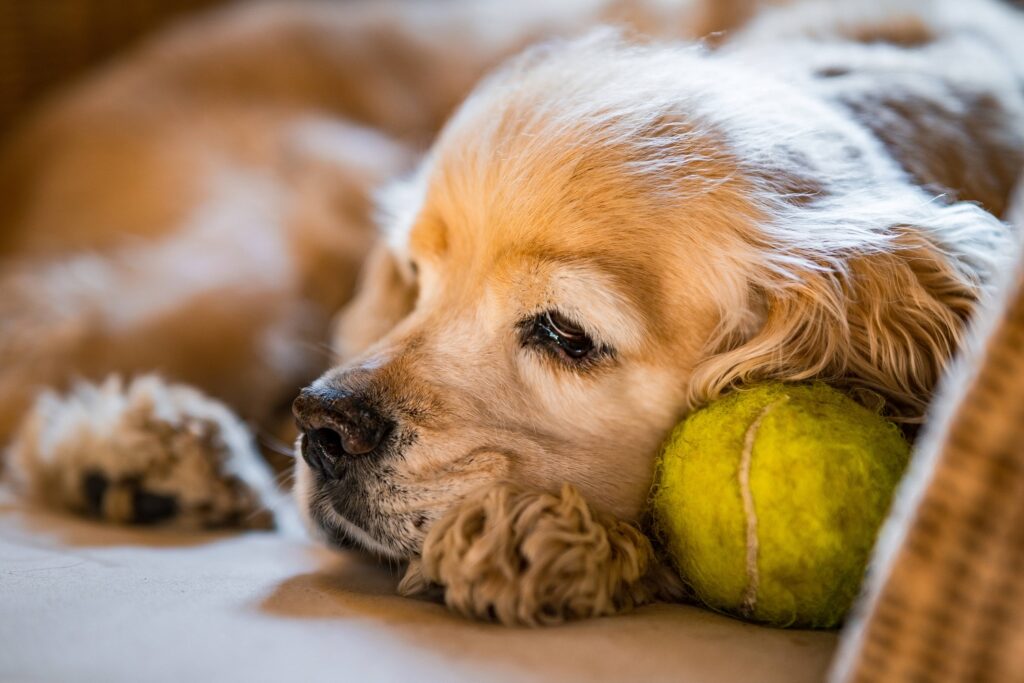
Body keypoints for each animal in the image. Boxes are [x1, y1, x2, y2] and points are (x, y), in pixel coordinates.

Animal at [2, 0, 1024, 626]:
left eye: (565, 334)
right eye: (417, 279)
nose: (322, 425)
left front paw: (529, 539)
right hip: (267, 248)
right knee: (39, 342)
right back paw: (136, 450)